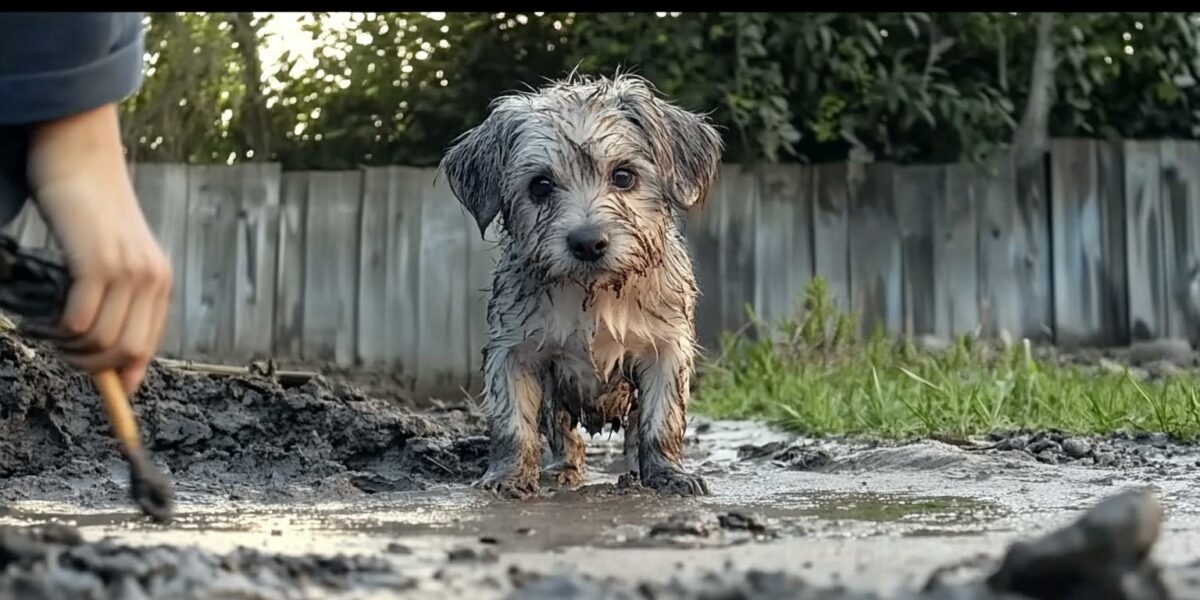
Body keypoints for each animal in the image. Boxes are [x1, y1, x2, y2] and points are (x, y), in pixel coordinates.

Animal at [441, 72, 720, 499]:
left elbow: (662, 423)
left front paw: (669, 474)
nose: (588, 242)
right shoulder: (514, 352)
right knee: (563, 435)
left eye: (623, 176)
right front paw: (508, 476)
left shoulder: (666, 349)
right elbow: (513, 426)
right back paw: (563, 470)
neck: (597, 295)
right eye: (540, 186)